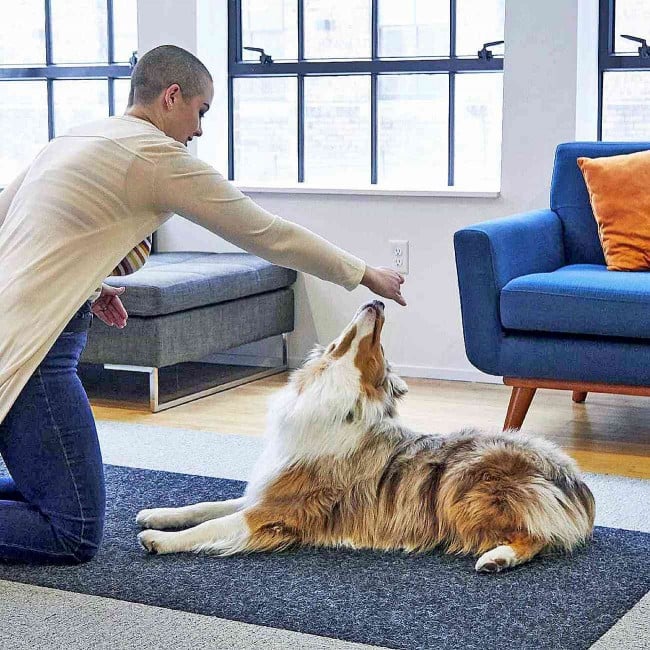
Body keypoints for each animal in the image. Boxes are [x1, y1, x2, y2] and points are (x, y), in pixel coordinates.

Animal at [137, 302, 592, 568]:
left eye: (379, 342)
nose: (377, 301)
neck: (329, 398)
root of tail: (572, 477)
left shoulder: (278, 511)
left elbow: (211, 527)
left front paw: (159, 540)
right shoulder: (268, 491)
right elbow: (207, 506)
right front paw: (158, 515)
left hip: (464, 486)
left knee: (539, 537)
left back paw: (498, 557)